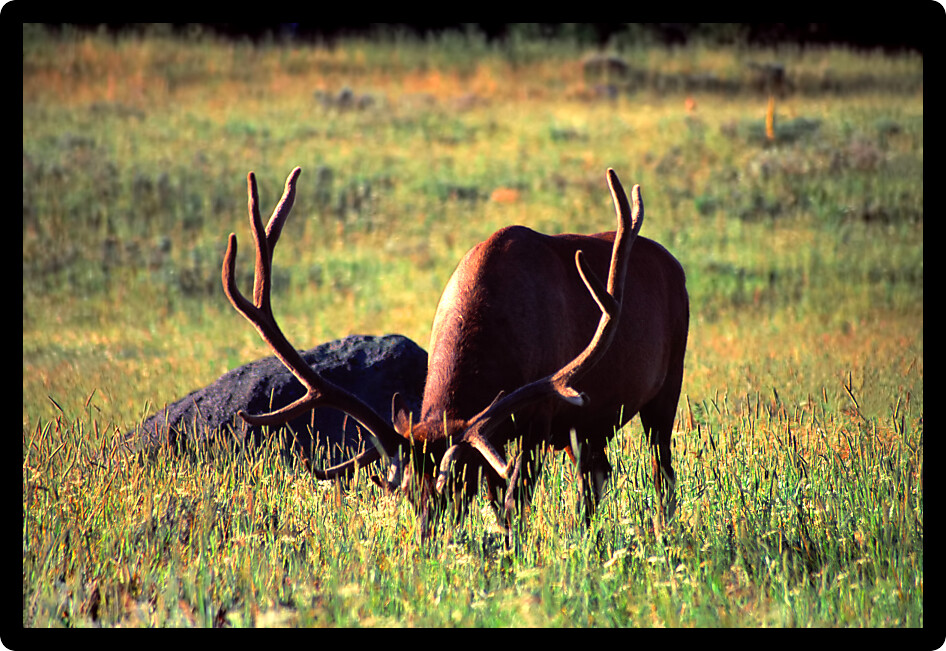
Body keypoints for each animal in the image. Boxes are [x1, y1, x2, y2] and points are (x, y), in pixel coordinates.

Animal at [221, 166, 689, 538]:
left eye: (457, 485)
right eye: (408, 492)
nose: (429, 543)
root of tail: (676, 265)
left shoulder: (539, 415)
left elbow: (515, 501)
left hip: (667, 386)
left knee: (661, 470)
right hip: (588, 423)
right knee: (597, 474)